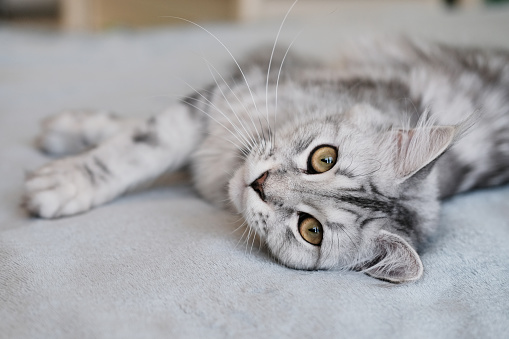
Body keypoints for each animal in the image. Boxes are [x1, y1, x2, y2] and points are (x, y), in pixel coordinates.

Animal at [22, 38, 508, 284]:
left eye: (311, 230)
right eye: (324, 158)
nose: (260, 184)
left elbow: (144, 146)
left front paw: (61, 180)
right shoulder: (216, 103)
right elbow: (140, 141)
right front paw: (67, 144)